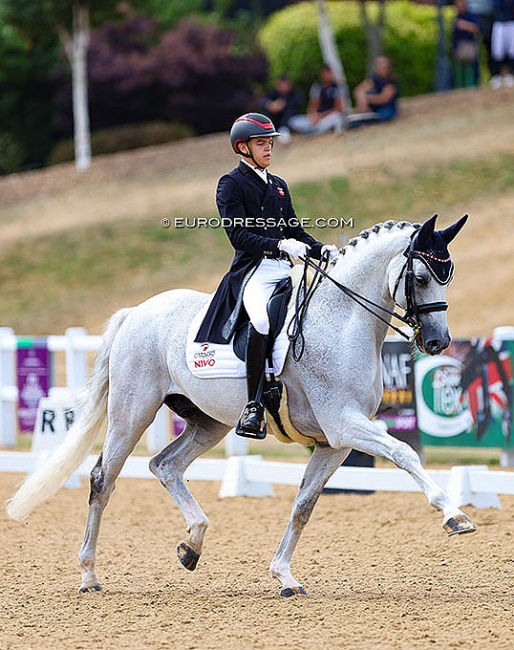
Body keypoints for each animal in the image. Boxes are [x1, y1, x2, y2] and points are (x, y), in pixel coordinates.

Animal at [7, 213, 472, 592]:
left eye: (447, 276)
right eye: (421, 277)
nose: (438, 342)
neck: (341, 320)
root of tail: (136, 311)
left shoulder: (333, 443)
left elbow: (303, 505)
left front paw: (284, 576)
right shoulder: (345, 424)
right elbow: (404, 452)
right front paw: (454, 515)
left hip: (207, 422)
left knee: (165, 465)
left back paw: (192, 544)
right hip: (131, 414)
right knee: (103, 479)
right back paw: (89, 575)